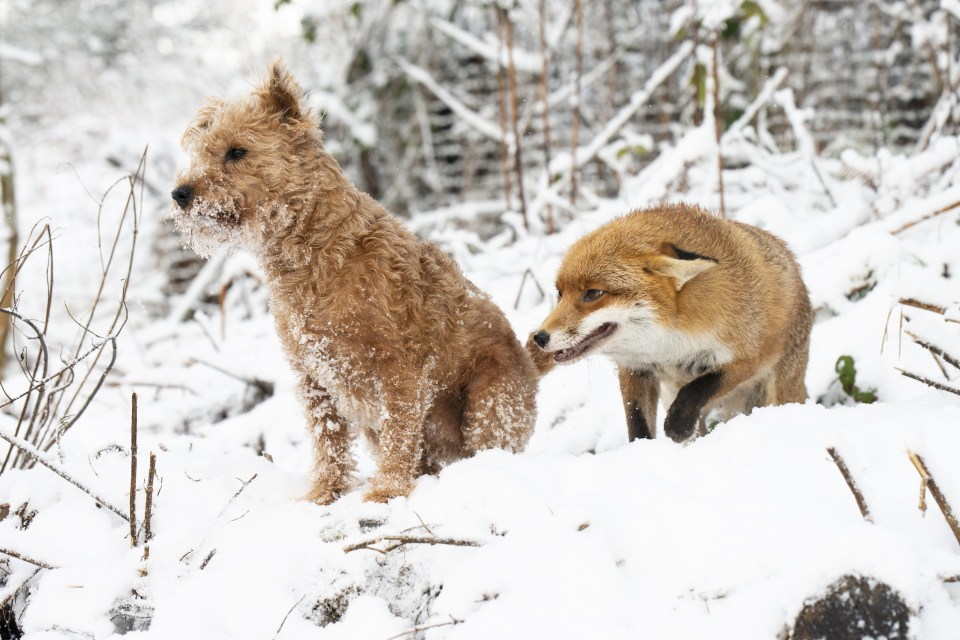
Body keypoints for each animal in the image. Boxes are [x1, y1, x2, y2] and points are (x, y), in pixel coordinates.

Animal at [172, 61, 540, 504]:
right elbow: (328, 441)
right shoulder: (314, 376)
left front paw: (385, 492)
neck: (318, 252)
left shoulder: (399, 369)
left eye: (237, 152)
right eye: (202, 152)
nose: (179, 193)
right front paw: (324, 494)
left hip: (488, 405)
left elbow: (400, 435)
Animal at [528, 202, 812, 442]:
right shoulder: (634, 368)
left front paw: (677, 425)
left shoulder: (746, 357)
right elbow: (637, 421)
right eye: (560, 293)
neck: (667, 343)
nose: (539, 337)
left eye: (594, 293)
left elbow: (697, 388)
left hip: (779, 391)